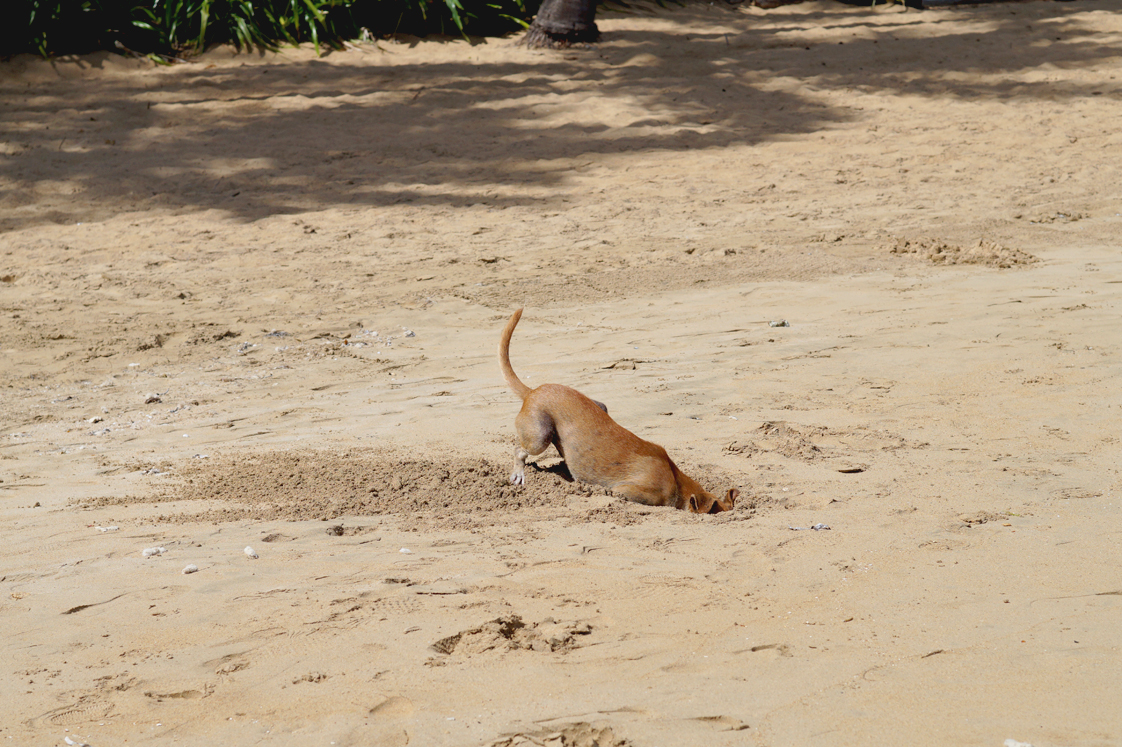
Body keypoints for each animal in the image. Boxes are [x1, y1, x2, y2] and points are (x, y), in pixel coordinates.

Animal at [500, 307, 736, 511]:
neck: (676, 480)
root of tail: (533, 390)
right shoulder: (625, 491)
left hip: (599, 407)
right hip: (540, 436)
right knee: (520, 450)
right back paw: (519, 473)